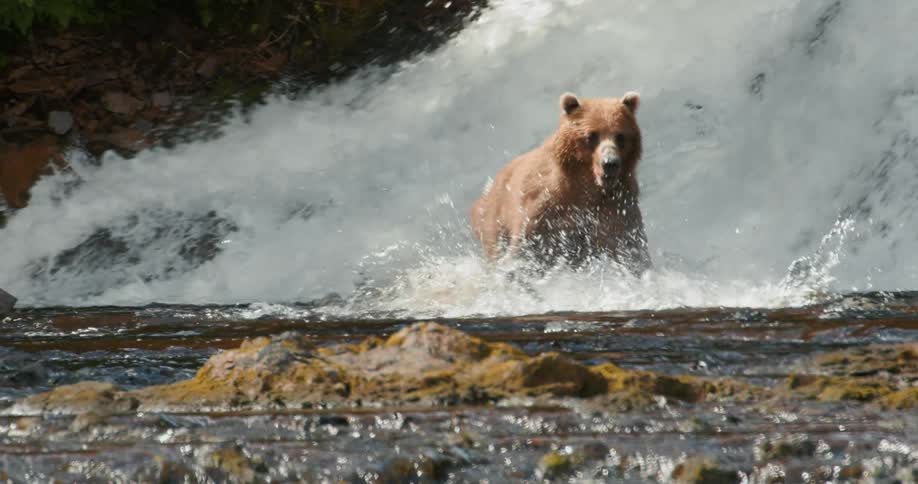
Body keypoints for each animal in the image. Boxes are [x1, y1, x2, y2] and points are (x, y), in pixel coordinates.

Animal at [470, 91, 650, 273]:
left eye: (620, 136)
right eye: (592, 135)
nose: (610, 163)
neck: (586, 188)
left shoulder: (617, 207)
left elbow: (630, 251)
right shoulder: (544, 207)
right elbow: (525, 249)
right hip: (494, 219)